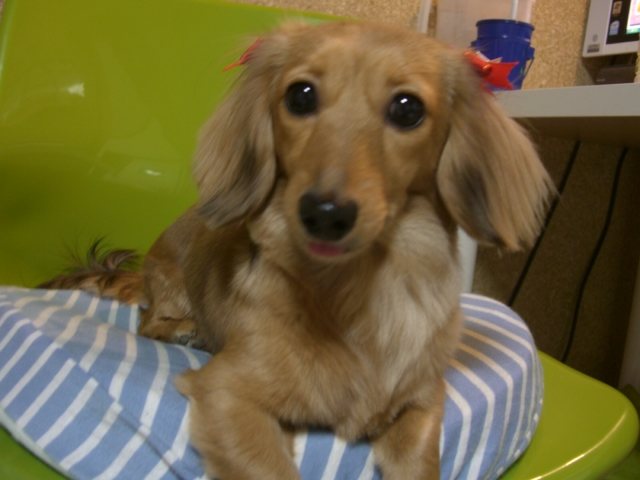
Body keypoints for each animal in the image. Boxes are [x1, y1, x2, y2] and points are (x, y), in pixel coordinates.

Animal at [40, 21, 553, 480]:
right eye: (300, 96)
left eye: (408, 108)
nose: (325, 213)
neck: (362, 294)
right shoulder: (226, 392)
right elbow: (266, 466)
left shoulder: (424, 402)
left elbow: (420, 461)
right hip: (171, 285)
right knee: (149, 321)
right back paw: (186, 329)